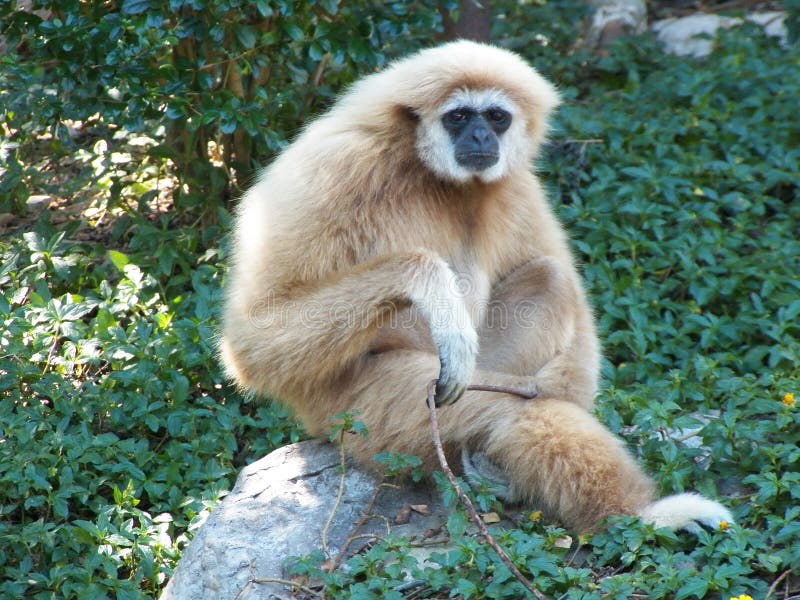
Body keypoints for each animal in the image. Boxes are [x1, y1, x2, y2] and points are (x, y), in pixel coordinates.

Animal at [220, 40, 733, 533]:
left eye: (497, 117)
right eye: (460, 116)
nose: (482, 136)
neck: (422, 168)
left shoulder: (519, 185)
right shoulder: (332, 168)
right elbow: (256, 335)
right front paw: (431, 286)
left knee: (549, 279)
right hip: (360, 412)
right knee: (512, 410)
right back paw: (642, 516)